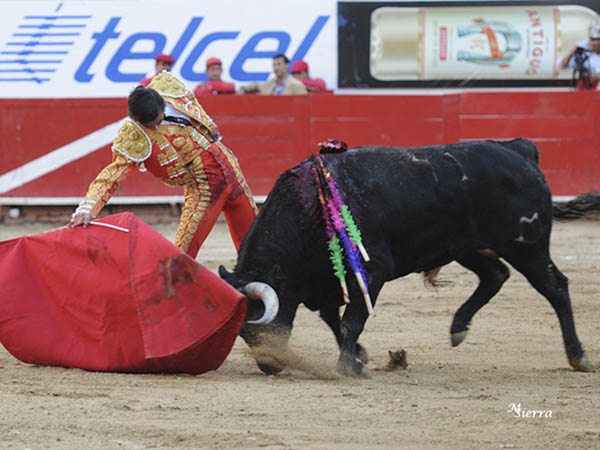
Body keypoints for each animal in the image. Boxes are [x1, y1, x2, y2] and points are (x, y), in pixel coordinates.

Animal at [219, 139, 597, 377]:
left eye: (257, 326)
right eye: (241, 332)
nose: (269, 366)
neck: (308, 208)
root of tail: (519, 149)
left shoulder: (371, 270)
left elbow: (352, 318)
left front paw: (350, 366)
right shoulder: (327, 280)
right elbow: (334, 319)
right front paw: (359, 355)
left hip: (526, 245)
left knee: (555, 287)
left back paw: (578, 356)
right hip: (465, 246)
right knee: (495, 275)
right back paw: (458, 328)